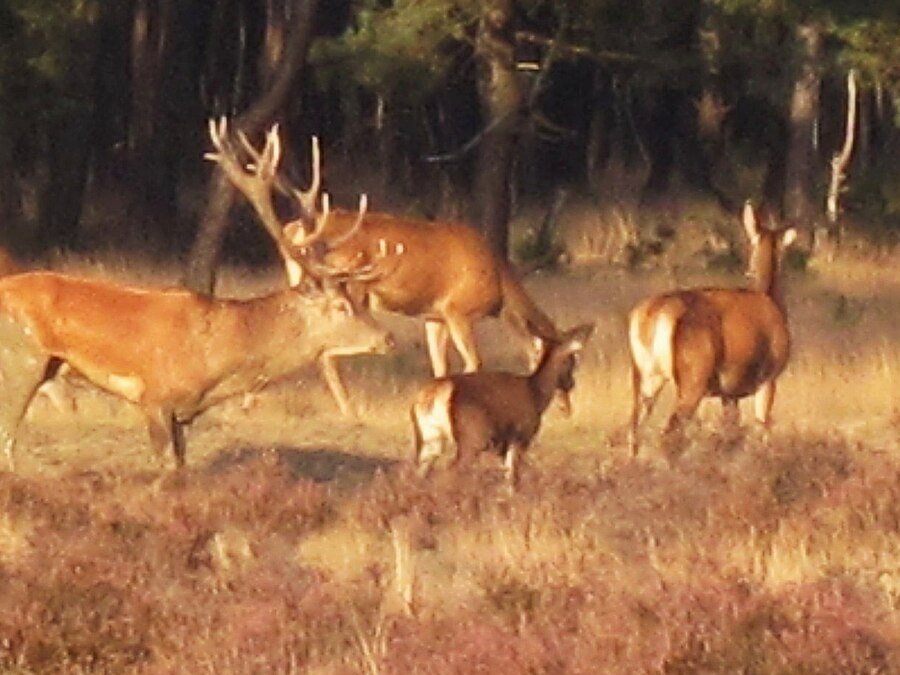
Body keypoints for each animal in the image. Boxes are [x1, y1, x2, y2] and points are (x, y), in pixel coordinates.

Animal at [0, 264, 392, 471]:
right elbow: (169, 468)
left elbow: (183, 465)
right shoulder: (155, 397)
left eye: (361, 300)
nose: (387, 337)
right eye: (342, 305)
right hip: (23, 362)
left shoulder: (183, 412)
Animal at [208, 120, 561, 386]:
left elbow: (440, 368)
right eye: (564, 372)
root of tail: (296, 229)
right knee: (328, 352)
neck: (500, 286)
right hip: (351, 286)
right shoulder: (457, 309)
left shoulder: (434, 316)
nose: (566, 408)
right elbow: (474, 364)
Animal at [411, 323, 593, 486]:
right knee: (451, 471)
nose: (570, 383)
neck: (536, 395)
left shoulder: (504, 444)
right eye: (571, 360)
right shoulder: (520, 436)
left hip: (432, 437)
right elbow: (513, 477)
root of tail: (428, 396)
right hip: (472, 438)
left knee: (421, 473)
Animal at [627, 201, 797, 457]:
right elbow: (763, 428)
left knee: (633, 429)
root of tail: (651, 315)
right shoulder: (769, 377)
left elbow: (732, 433)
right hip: (693, 375)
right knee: (669, 433)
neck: (772, 299)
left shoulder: (729, 392)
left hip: (645, 376)